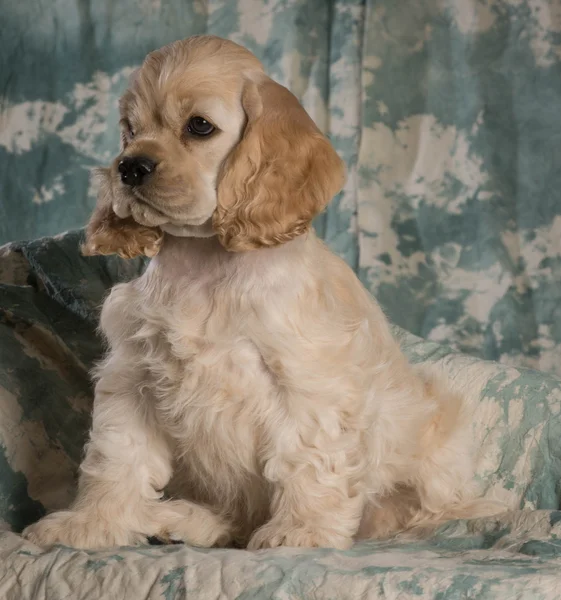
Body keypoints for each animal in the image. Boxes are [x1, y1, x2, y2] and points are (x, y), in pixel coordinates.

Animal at [21, 35, 496, 552]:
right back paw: (181, 521)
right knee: (233, 517)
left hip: (438, 435)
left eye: (200, 126)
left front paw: (301, 532)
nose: (128, 167)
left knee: (418, 508)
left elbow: (307, 460)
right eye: (130, 130)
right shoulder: (134, 378)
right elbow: (115, 457)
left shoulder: (306, 383)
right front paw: (89, 523)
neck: (205, 263)